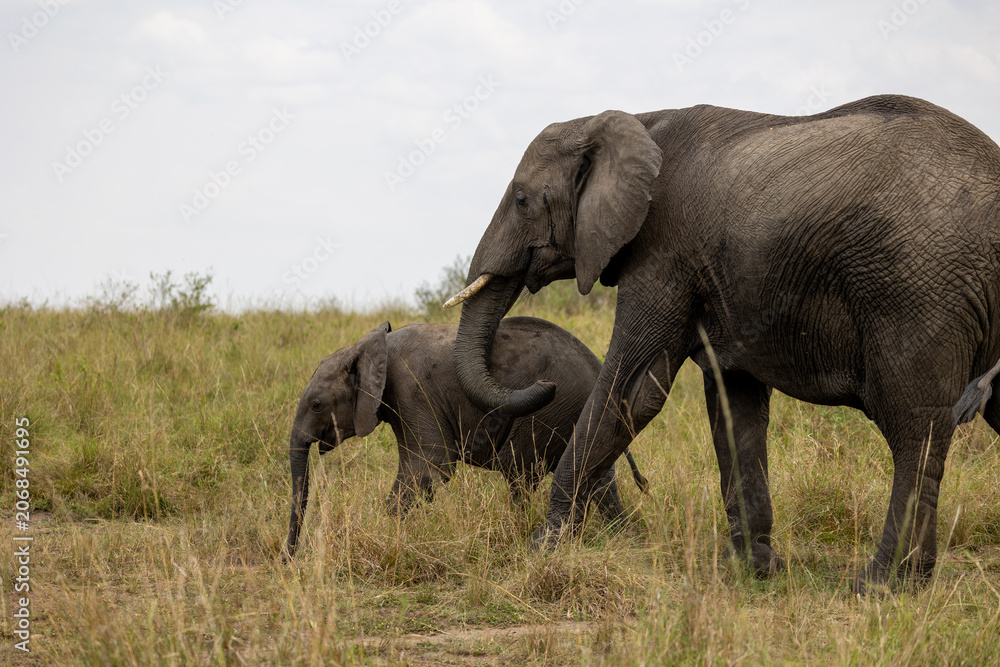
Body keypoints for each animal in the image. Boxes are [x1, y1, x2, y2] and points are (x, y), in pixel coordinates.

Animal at [284, 316, 648, 559]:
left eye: (317, 405)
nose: (288, 561)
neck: (369, 348)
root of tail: (596, 367)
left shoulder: (411, 389)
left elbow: (429, 468)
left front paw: (385, 532)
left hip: (553, 408)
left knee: (519, 469)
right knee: (596, 477)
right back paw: (621, 537)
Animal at [445, 94, 1000, 593]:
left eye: (521, 199)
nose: (545, 383)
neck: (632, 118)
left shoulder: (662, 251)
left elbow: (632, 390)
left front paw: (542, 547)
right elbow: (734, 404)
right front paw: (755, 571)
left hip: (916, 290)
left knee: (913, 425)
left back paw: (882, 586)